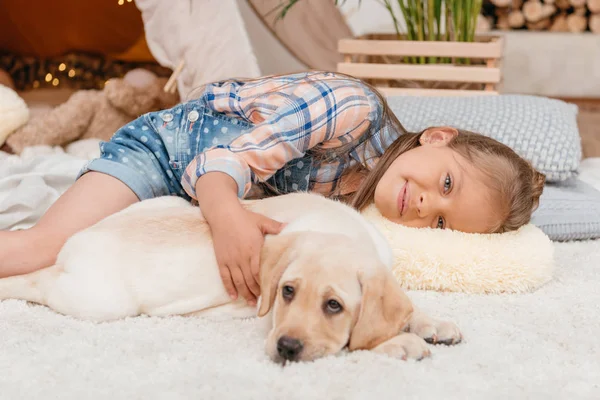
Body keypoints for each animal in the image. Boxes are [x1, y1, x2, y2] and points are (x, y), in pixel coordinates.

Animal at [0, 192, 462, 364]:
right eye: (287, 292)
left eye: (334, 305)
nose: (285, 349)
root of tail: (74, 242)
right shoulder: (269, 319)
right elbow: (354, 342)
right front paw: (401, 343)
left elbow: (402, 309)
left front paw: (431, 322)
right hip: (98, 301)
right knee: (37, 280)